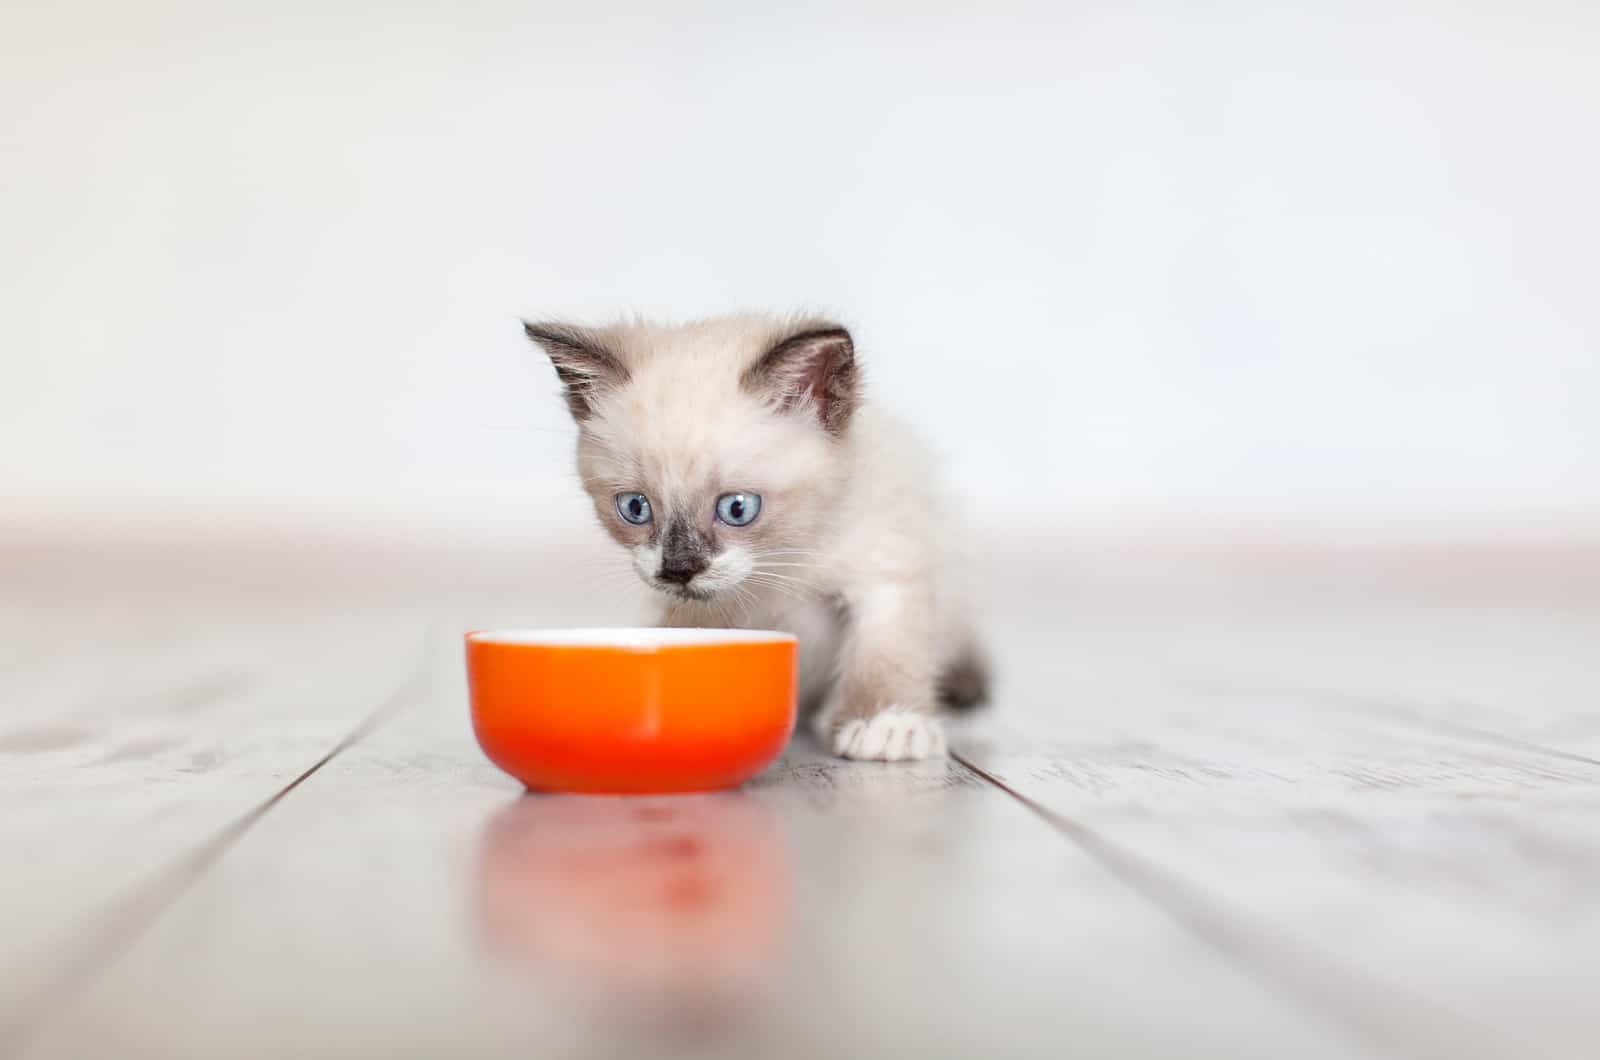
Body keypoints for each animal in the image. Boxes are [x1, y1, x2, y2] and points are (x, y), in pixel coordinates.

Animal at [524, 312, 985, 758]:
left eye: (737, 508)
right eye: (635, 508)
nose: (678, 570)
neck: (780, 563)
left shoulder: (884, 573)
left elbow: (886, 653)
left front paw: (887, 723)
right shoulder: (694, 614)